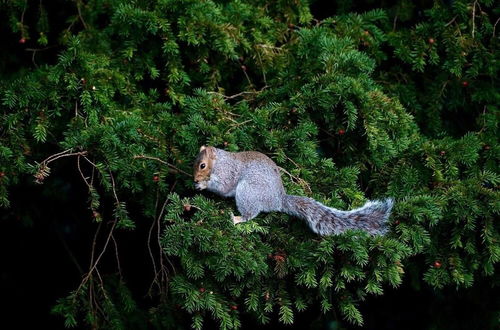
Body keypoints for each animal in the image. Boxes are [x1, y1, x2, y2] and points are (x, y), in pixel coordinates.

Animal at [194, 146, 394, 236]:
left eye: (202, 165)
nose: (194, 179)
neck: (219, 162)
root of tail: (278, 200)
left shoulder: (227, 173)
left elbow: (223, 187)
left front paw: (203, 185)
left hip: (248, 192)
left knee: (250, 214)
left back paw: (236, 218)